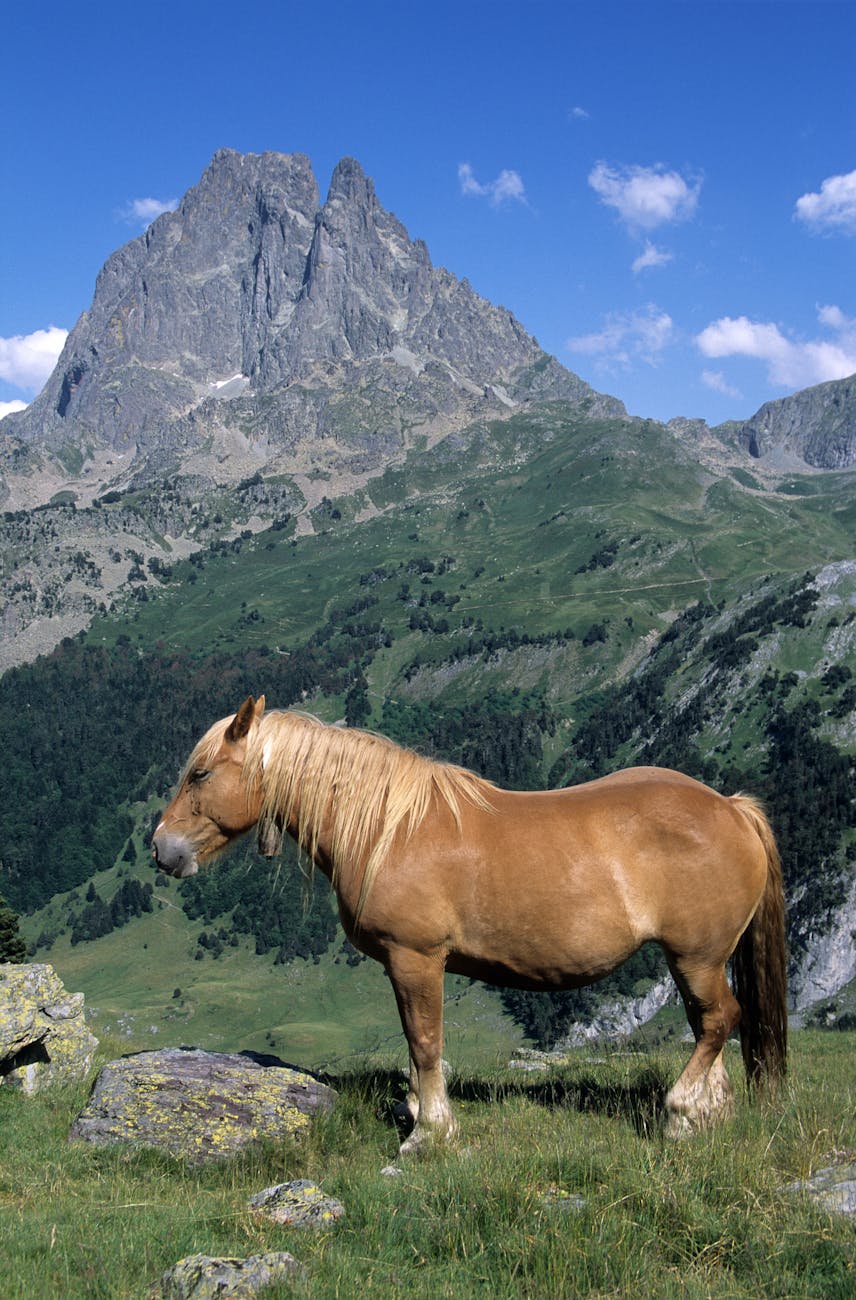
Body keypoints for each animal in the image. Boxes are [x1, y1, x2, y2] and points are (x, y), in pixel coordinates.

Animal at [152, 695, 787, 1151]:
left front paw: (430, 1132)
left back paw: (680, 1114)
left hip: (695, 957)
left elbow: (426, 1041)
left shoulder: (416, 958)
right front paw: (416, 1110)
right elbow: (414, 1045)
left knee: (718, 1020)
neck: (389, 829)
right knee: (710, 1024)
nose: (162, 849)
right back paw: (709, 1114)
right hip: (695, 962)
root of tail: (732, 809)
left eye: (201, 774)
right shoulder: (400, 967)